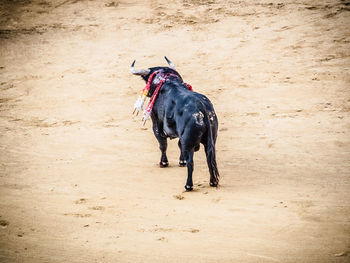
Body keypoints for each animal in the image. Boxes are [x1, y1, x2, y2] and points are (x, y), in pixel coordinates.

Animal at [131, 57, 219, 192]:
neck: (168, 80)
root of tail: (201, 107)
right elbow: (178, 145)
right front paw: (181, 161)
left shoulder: (156, 125)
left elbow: (163, 145)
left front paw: (163, 163)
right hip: (211, 140)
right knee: (210, 158)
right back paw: (212, 182)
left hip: (188, 141)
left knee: (191, 162)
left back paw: (188, 185)